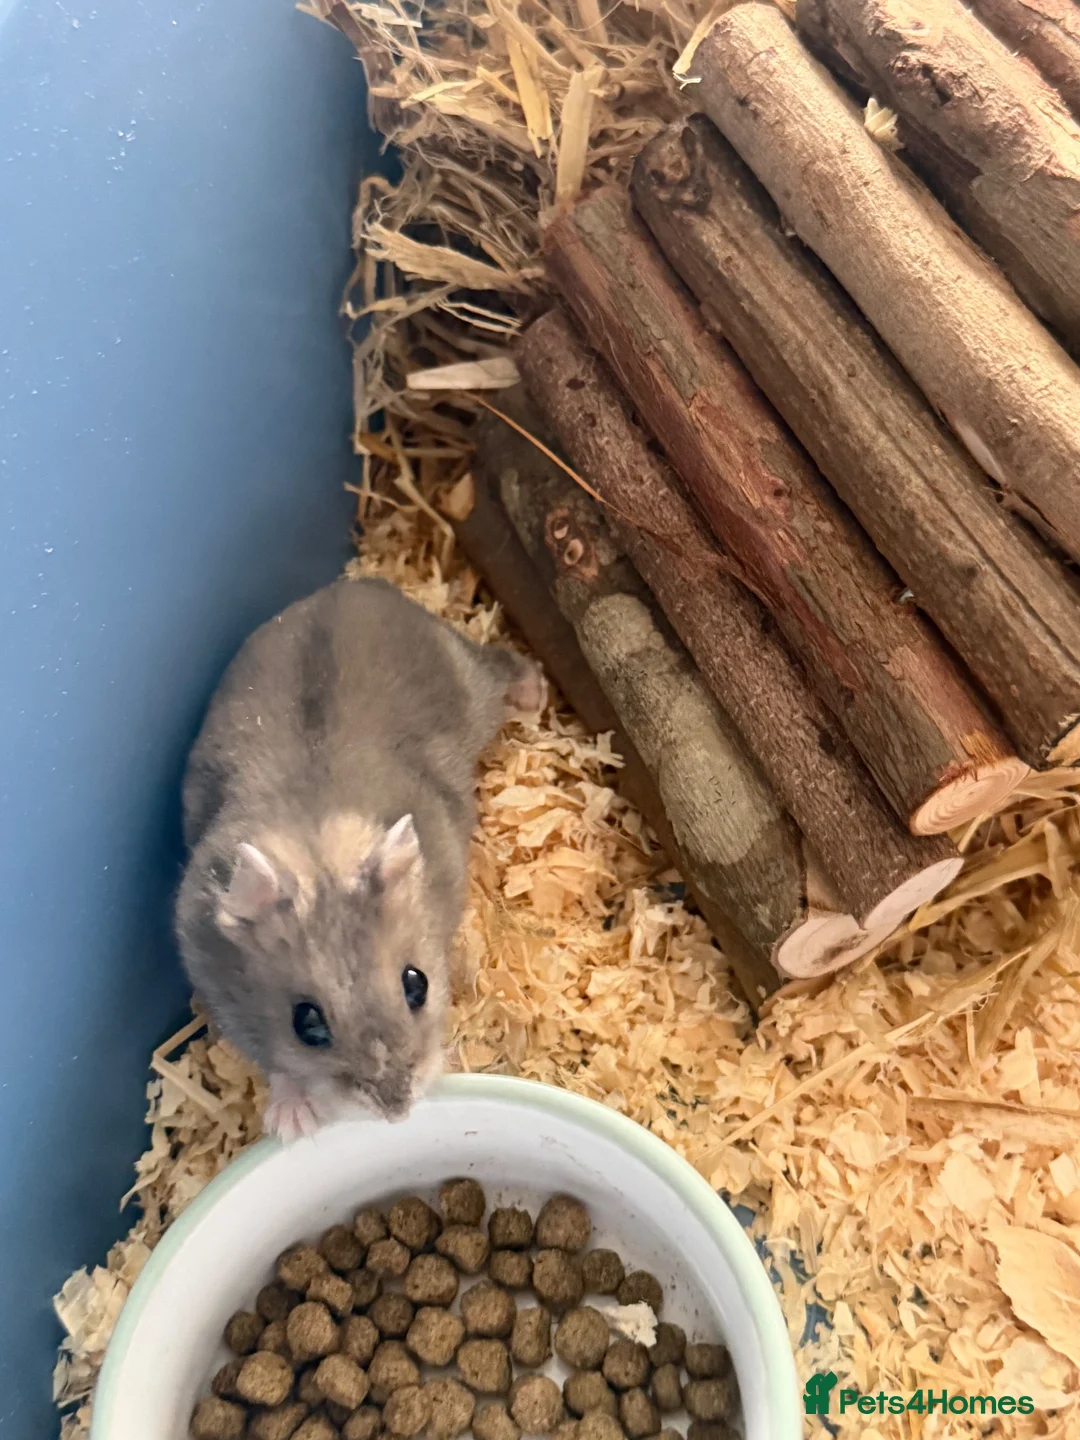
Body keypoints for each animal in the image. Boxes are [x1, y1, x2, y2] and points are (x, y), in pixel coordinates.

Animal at [175, 576, 542, 1141]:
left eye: (417, 984)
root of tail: (354, 584)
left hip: (470, 678)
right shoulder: (218, 989)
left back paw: (534, 693)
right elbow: (276, 1063)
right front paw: (292, 1123)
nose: (399, 1112)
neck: (317, 849)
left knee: (499, 663)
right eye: (307, 1024)